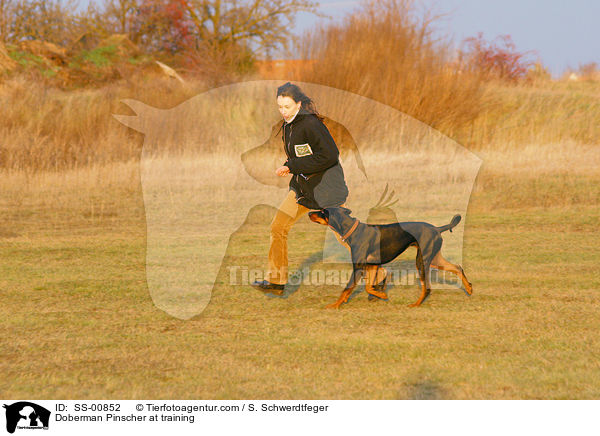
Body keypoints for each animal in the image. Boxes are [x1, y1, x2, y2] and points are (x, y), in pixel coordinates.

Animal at [310, 207, 474, 306]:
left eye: (323, 212)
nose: (309, 213)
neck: (353, 230)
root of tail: (437, 229)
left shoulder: (358, 267)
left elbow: (347, 288)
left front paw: (334, 306)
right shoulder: (372, 266)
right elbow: (369, 287)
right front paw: (381, 294)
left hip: (422, 261)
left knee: (427, 288)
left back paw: (415, 304)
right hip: (434, 259)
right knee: (457, 267)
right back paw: (469, 288)